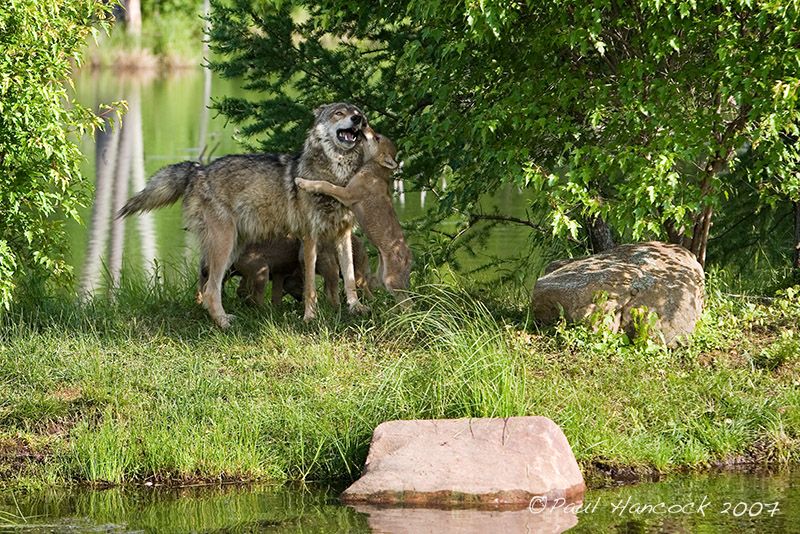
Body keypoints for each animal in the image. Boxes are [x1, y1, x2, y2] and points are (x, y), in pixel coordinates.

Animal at [119, 102, 372, 328]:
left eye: (357, 112)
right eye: (339, 113)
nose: (358, 119)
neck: (336, 175)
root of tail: (198, 170)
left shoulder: (343, 235)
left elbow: (349, 277)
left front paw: (356, 308)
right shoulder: (310, 238)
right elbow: (310, 286)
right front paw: (310, 317)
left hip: (233, 248)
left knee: (207, 287)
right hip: (225, 245)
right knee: (211, 290)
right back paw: (224, 324)